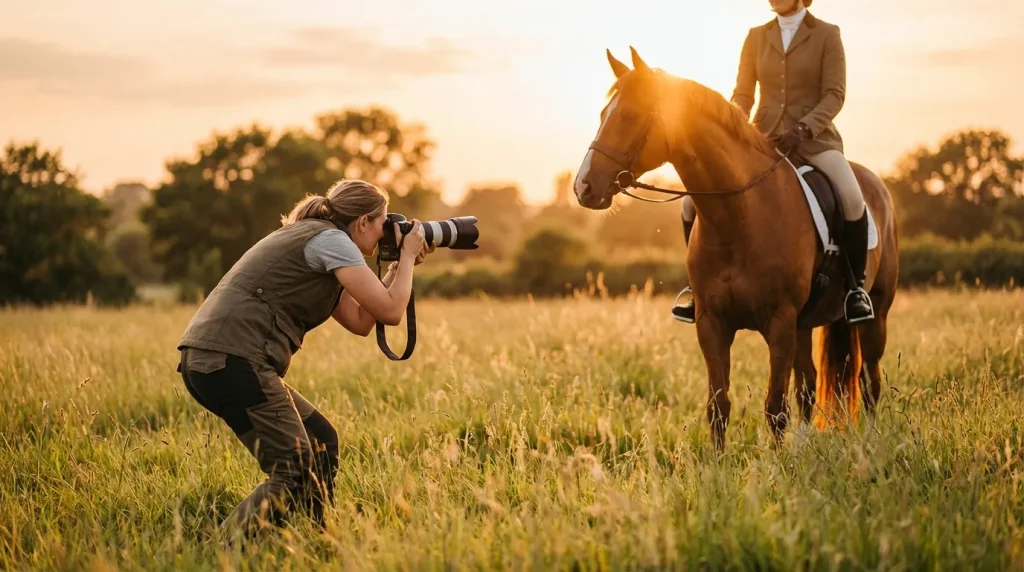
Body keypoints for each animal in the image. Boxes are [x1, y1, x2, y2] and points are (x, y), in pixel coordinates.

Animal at [573, 47, 899, 450]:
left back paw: (871, 440)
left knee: (869, 381)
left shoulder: (779, 323)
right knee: (808, 385)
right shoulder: (712, 323)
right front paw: (718, 464)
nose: (583, 187)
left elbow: (775, 408)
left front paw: (778, 464)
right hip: (804, 325)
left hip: (875, 314)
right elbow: (718, 406)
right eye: (603, 114)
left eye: (630, 115)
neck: (738, 217)